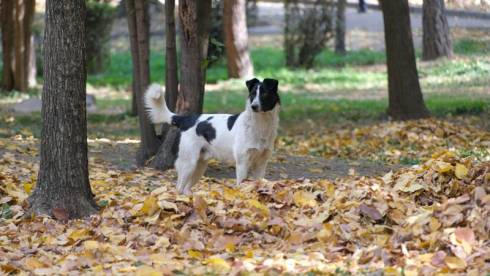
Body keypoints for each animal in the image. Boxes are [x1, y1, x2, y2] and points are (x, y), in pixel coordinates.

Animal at [145, 77, 280, 194]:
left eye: (264, 94)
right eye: (252, 94)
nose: (254, 107)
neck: (261, 125)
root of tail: (187, 119)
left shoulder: (261, 164)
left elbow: (258, 183)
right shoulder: (242, 162)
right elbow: (241, 185)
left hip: (199, 165)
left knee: (186, 188)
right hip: (188, 163)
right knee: (179, 187)